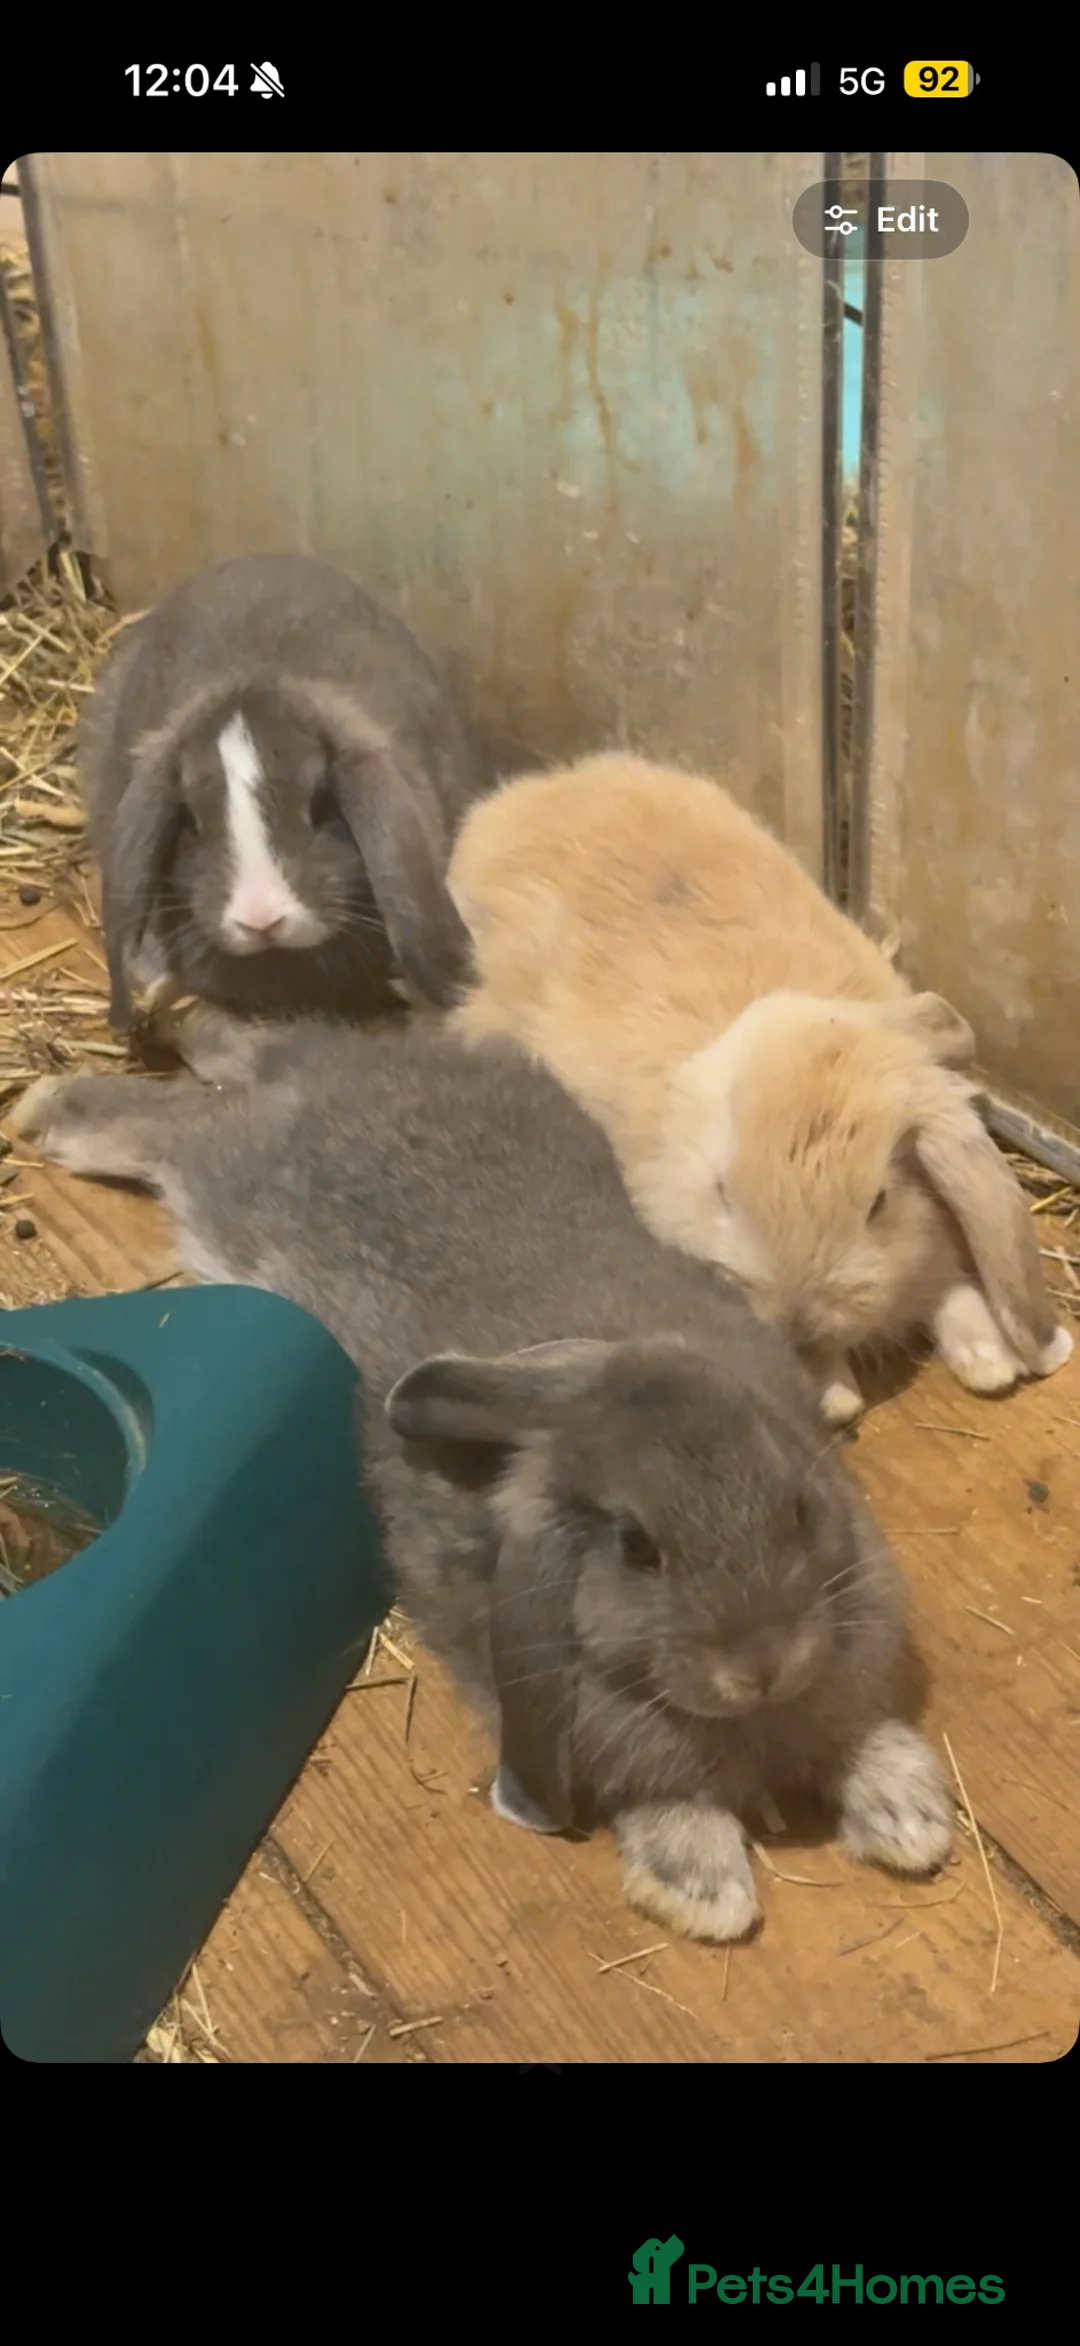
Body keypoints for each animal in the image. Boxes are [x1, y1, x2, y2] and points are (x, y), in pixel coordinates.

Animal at [13, 1008, 953, 1944]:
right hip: (230, 1187)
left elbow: (857, 1735)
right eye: (638, 1549)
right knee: (185, 1134)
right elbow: (667, 1802)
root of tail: (316, 1086)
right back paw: (53, 1107)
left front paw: (911, 1817)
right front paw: (701, 1890)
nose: (764, 1666)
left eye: (798, 1506)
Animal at [447, 750, 1072, 1426]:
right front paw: (838, 1396)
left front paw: (991, 1361)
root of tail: (528, 796)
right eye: (722, 1192)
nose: (799, 1320)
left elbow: (953, 1285)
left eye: (877, 1202)